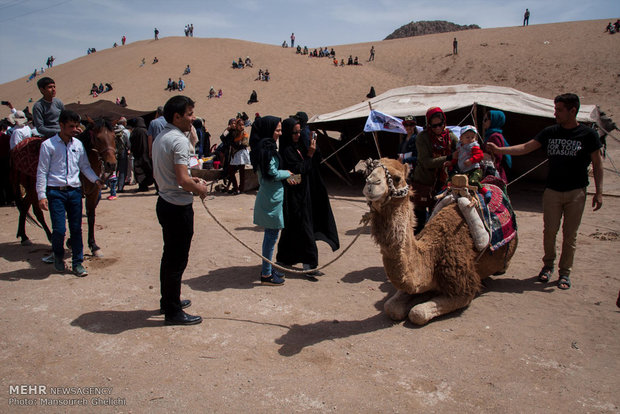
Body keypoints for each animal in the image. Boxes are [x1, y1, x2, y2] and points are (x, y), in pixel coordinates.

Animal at [10, 117, 117, 256]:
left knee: (24, 206)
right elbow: (75, 218)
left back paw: (24, 237)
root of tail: (16, 149)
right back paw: (50, 237)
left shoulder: (92, 193)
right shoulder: (75, 193)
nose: (111, 164)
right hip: (34, 189)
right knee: (37, 211)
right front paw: (71, 242)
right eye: (98, 138)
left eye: (114, 137)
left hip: (31, 189)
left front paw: (93, 246)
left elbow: (91, 216)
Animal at [358, 157, 520, 326]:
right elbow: (391, 307)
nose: (371, 183)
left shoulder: (464, 288)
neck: (433, 254)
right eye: (369, 172)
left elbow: (418, 313)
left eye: (396, 178)